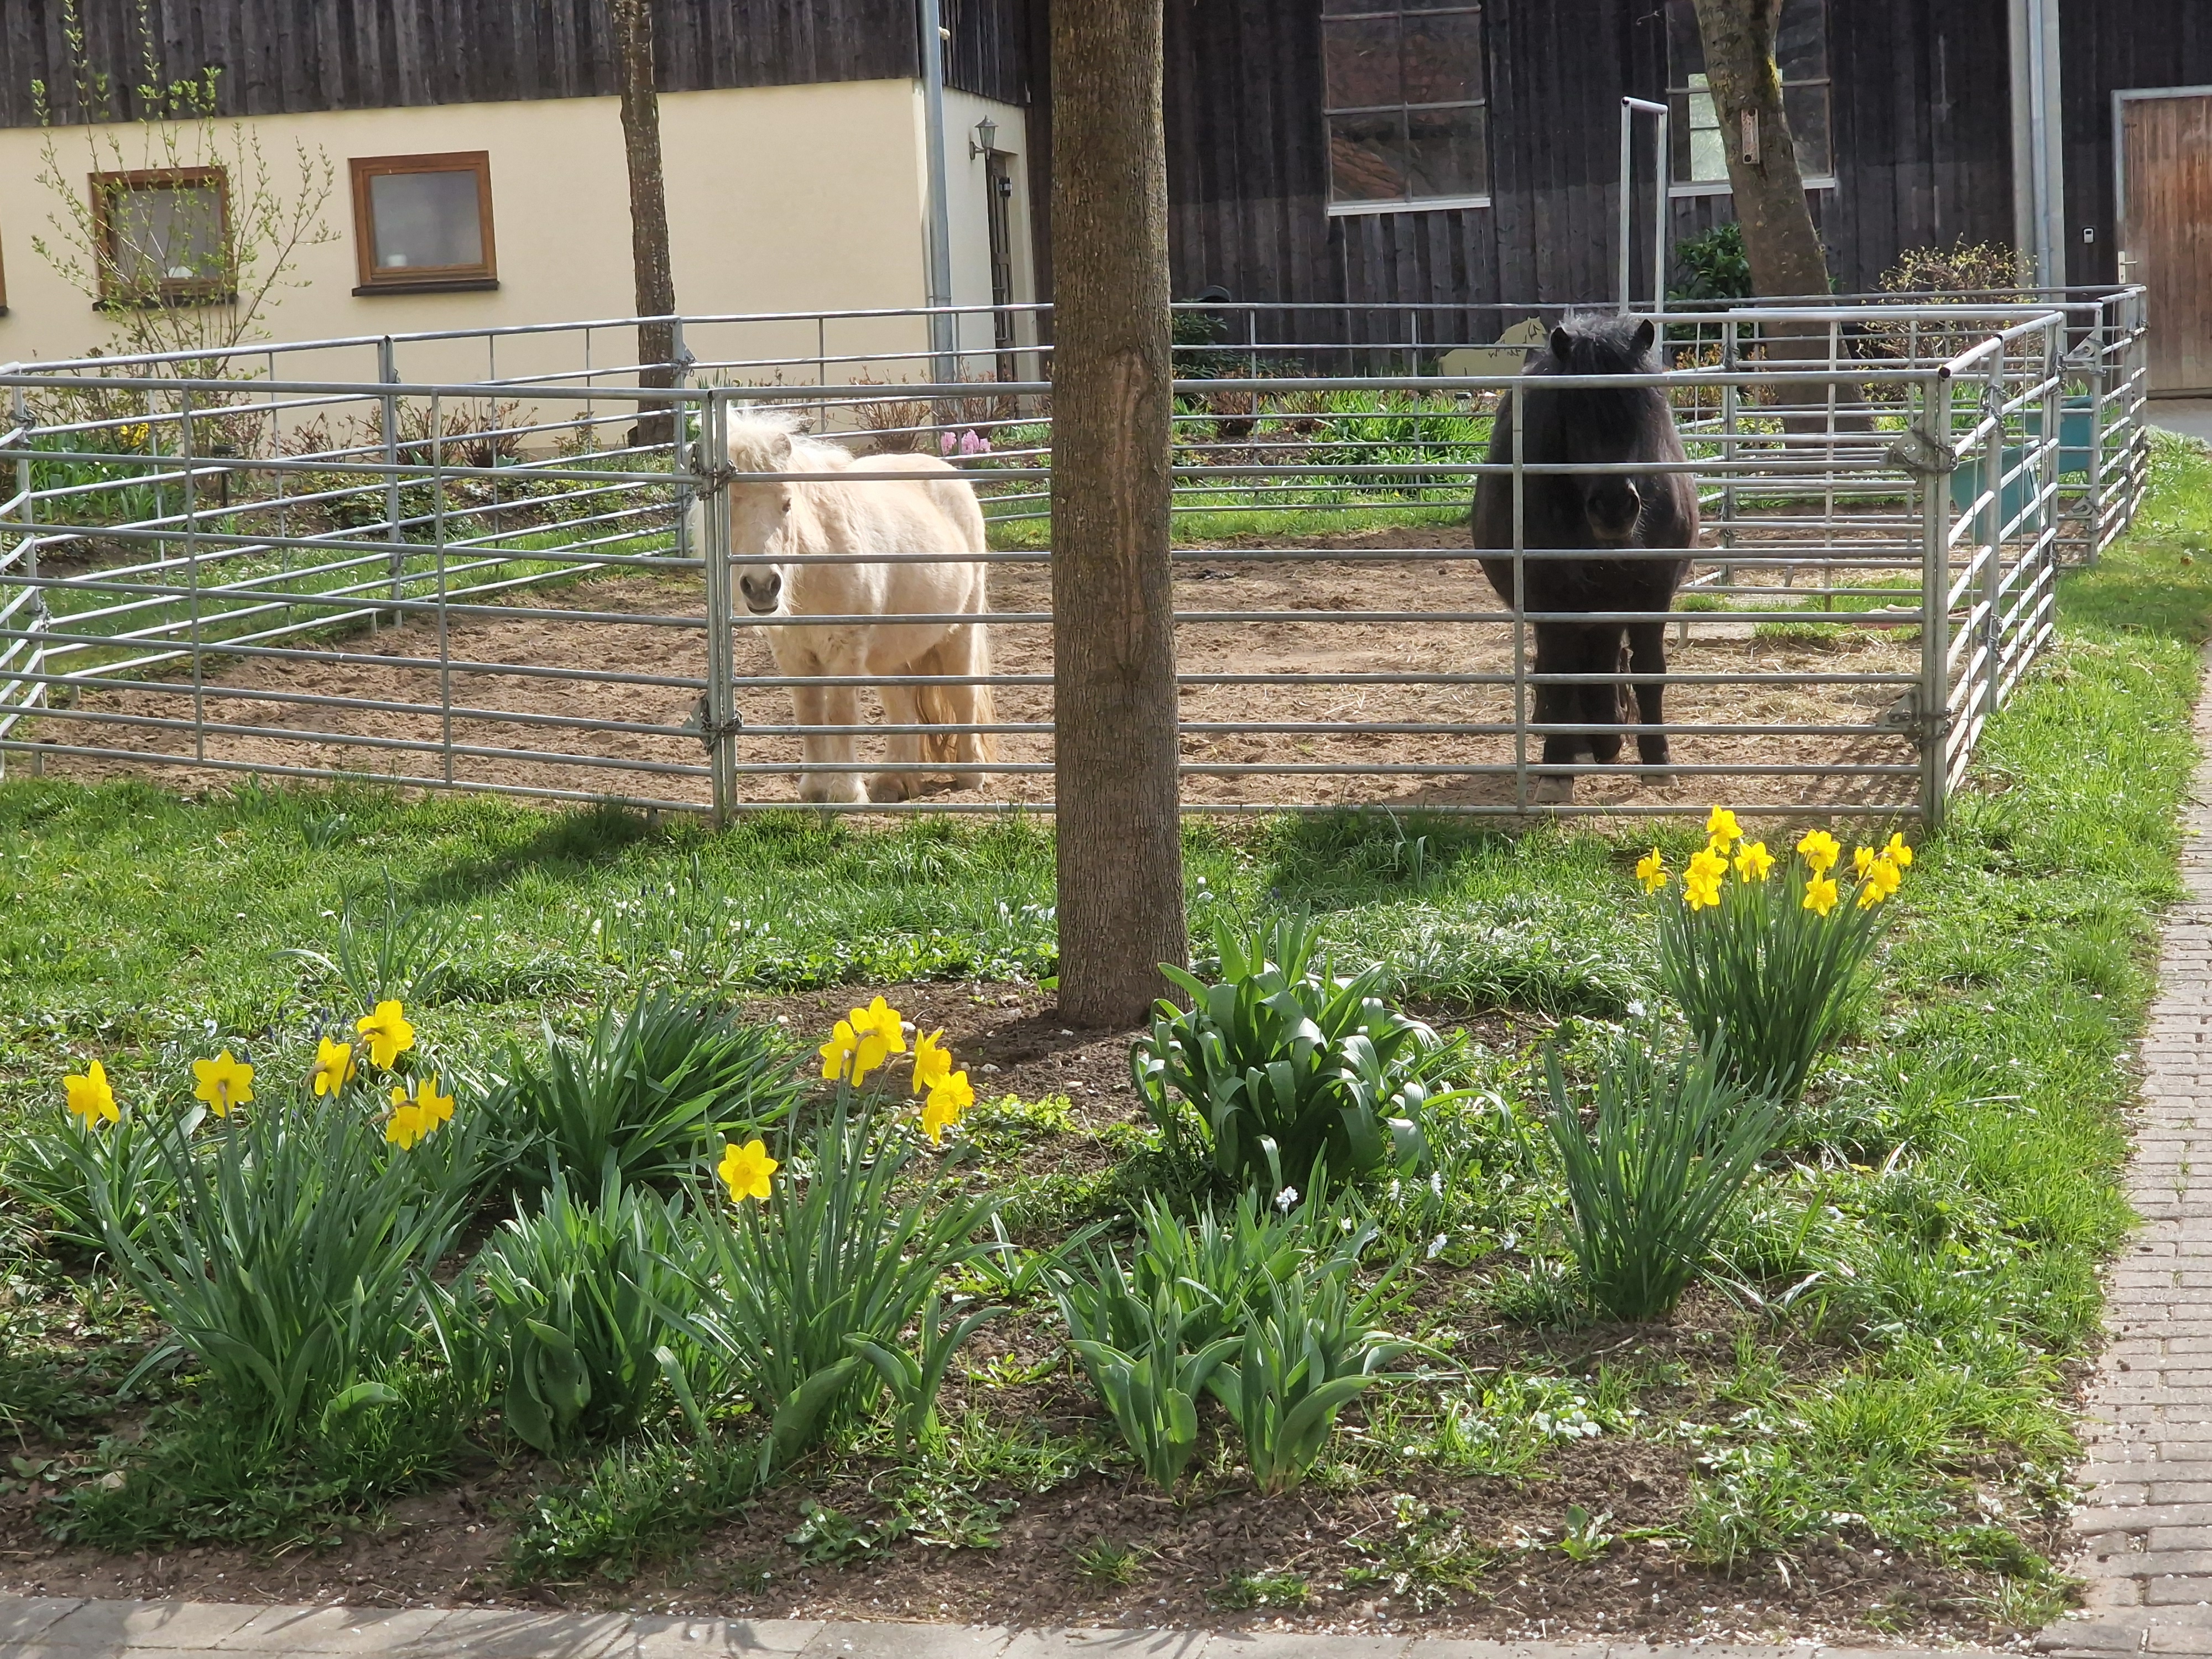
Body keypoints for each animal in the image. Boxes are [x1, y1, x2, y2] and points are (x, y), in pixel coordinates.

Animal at [697, 412, 996, 805]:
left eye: (787, 504)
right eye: (727, 509)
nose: (762, 586)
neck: (817, 563)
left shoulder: (845, 649)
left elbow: (841, 712)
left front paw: (846, 792)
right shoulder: (794, 654)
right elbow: (809, 713)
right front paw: (814, 789)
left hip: (958, 632)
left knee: (964, 695)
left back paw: (971, 774)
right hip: (890, 656)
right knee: (904, 712)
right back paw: (893, 782)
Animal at [1470, 314, 1698, 805]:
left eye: (1642, 410)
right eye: (1575, 412)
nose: (1614, 508)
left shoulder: (1652, 598)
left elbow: (1649, 671)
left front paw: (1658, 763)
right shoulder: (1552, 601)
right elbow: (1559, 674)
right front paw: (1557, 771)